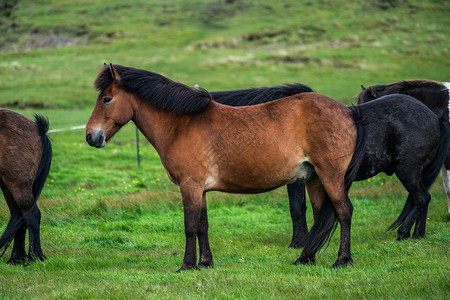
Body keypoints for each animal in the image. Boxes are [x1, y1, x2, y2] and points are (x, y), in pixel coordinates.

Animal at [0, 109, 51, 264]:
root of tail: (38, 129)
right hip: (7, 185)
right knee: (19, 215)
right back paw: (16, 258)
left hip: (17, 183)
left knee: (31, 215)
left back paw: (34, 258)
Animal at [84, 63, 366, 270]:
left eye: (107, 99)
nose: (90, 136)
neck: (182, 124)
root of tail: (348, 112)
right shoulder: (200, 190)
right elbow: (203, 225)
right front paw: (205, 263)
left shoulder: (190, 186)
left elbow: (190, 226)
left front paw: (187, 265)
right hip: (314, 178)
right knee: (322, 217)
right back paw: (306, 258)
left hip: (330, 176)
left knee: (344, 211)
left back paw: (342, 260)